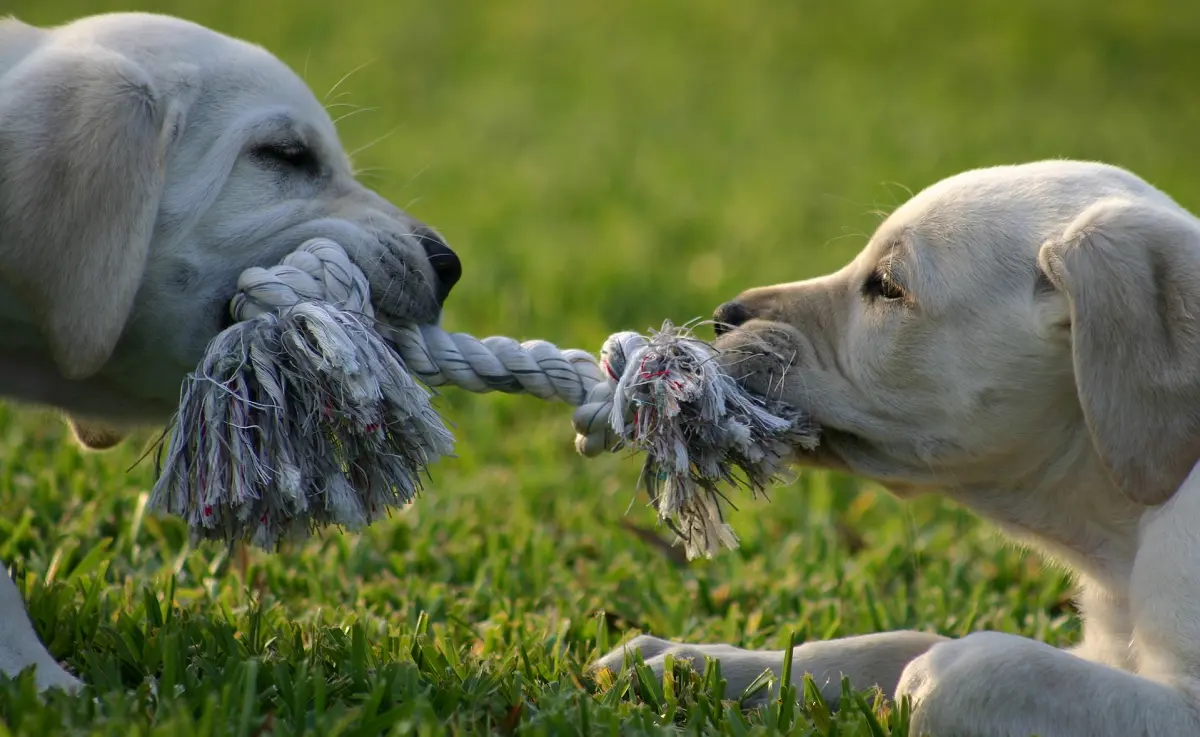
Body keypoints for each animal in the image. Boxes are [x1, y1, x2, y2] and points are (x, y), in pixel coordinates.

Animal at [597, 162, 1200, 737]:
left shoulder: (1176, 706)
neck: (1119, 539)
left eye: (887, 286)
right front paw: (687, 663)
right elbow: (890, 643)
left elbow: (966, 670)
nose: (726, 314)